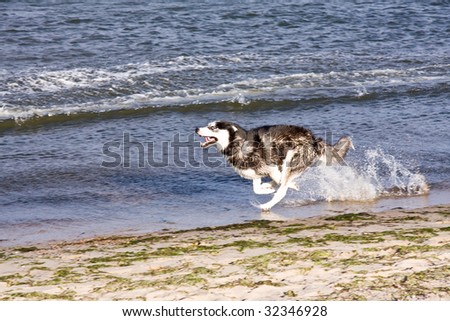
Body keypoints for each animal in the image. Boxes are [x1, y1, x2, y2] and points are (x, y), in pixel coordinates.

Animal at [195, 120, 354, 210]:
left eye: (213, 128)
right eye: (208, 125)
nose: (196, 128)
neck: (238, 144)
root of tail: (314, 139)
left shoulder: (271, 166)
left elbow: (279, 181)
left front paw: (285, 186)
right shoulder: (256, 172)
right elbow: (257, 189)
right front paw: (268, 188)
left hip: (292, 158)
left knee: (282, 188)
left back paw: (267, 205)